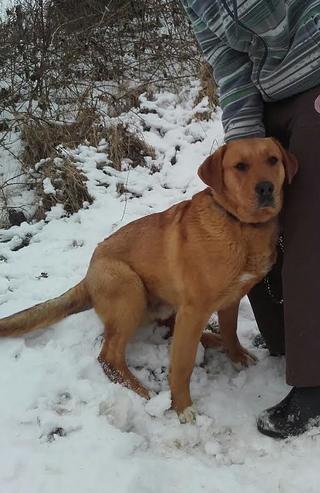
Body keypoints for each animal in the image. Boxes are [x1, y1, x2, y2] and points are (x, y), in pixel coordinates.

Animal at [0, 138, 298, 422]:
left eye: (273, 160)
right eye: (240, 166)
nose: (266, 188)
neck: (240, 225)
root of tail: (88, 275)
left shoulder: (230, 299)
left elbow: (230, 331)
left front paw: (236, 356)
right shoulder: (194, 309)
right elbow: (182, 365)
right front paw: (182, 407)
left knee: (171, 329)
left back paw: (210, 340)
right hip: (130, 289)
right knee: (109, 357)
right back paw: (140, 389)